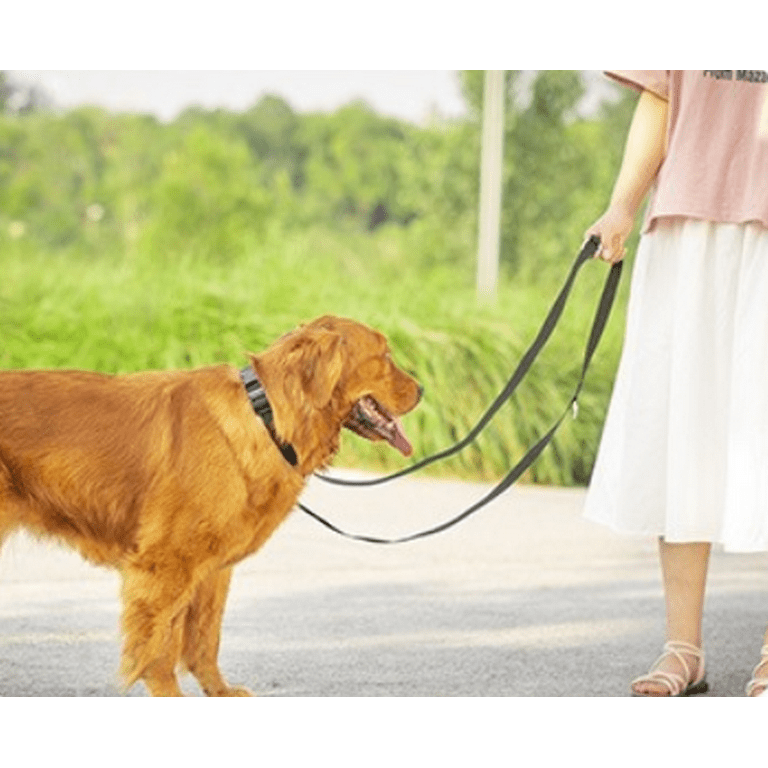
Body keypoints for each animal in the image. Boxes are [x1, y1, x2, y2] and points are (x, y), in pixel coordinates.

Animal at [0, 316, 420, 692]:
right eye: (384, 355)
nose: (421, 390)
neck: (266, 417)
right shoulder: (166, 564)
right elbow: (160, 648)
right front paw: (168, 694)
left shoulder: (211, 568)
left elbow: (205, 639)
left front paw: (219, 691)